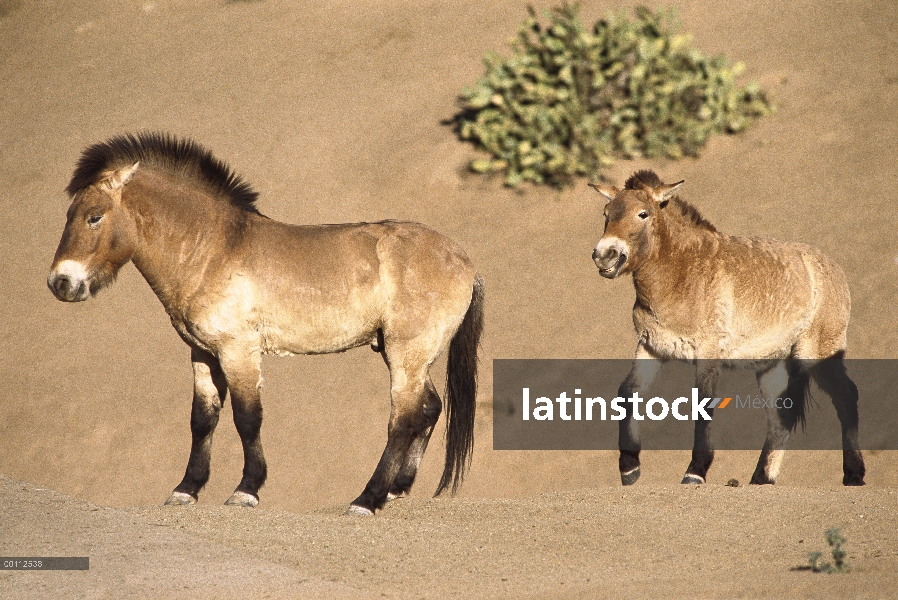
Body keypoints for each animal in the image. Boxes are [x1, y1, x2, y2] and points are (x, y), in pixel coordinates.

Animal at [47, 132, 484, 516]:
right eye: (69, 215)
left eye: (94, 217)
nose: (61, 282)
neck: (212, 249)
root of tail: (463, 259)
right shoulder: (203, 353)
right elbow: (202, 419)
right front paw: (186, 490)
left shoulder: (239, 350)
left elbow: (247, 419)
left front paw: (246, 490)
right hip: (408, 356)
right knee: (429, 408)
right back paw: (395, 490)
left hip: (406, 353)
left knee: (404, 419)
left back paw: (367, 499)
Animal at [588, 170, 860, 488]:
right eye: (606, 213)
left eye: (643, 213)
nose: (605, 255)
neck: (682, 273)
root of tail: (833, 270)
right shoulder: (651, 347)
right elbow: (628, 392)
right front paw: (629, 467)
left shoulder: (708, 353)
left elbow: (702, 403)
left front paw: (695, 471)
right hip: (772, 365)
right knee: (781, 416)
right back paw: (761, 479)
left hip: (818, 351)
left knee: (845, 396)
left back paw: (854, 475)